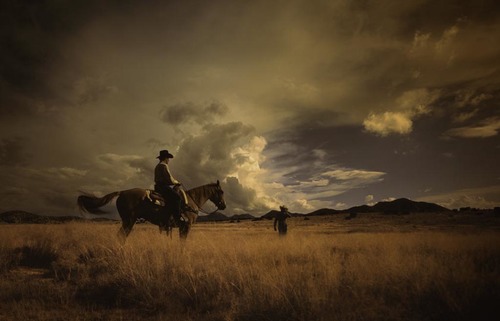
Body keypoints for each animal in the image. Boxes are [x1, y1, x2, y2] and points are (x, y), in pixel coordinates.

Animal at [77, 180, 226, 240]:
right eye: (221, 191)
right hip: (128, 221)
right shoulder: (186, 226)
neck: (191, 200)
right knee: (121, 236)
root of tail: (122, 192)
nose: (224, 206)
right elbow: (182, 243)